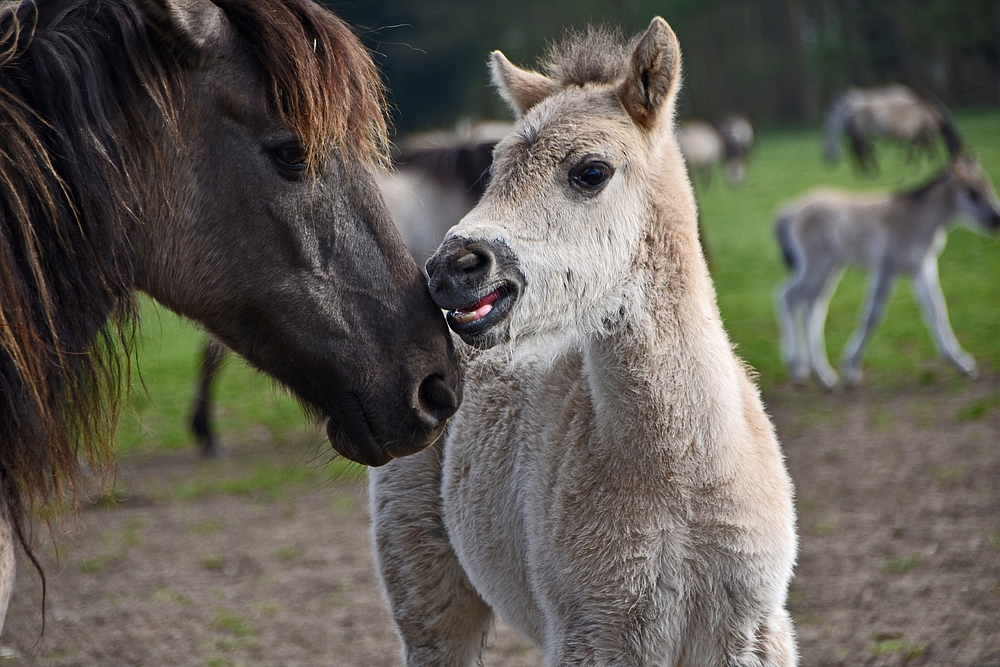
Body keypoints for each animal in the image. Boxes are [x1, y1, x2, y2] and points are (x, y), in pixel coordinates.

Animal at [772, 154, 1000, 388]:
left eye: (987, 186)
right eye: (972, 192)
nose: (996, 219)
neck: (915, 218)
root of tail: (791, 210)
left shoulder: (921, 268)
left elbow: (936, 308)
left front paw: (962, 364)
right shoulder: (885, 269)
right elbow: (872, 316)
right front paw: (851, 369)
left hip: (830, 268)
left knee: (811, 306)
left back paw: (816, 373)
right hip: (817, 266)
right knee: (789, 297)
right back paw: (805, 371)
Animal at [820, 84, 960, 172]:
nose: (829, 162)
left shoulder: (918, 133)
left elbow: (918, 147)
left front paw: (914, 162)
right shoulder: (924, 133)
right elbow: (927, 147)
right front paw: (930, 162)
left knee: (860, 150)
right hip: (863, 134)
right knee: (862, 150)